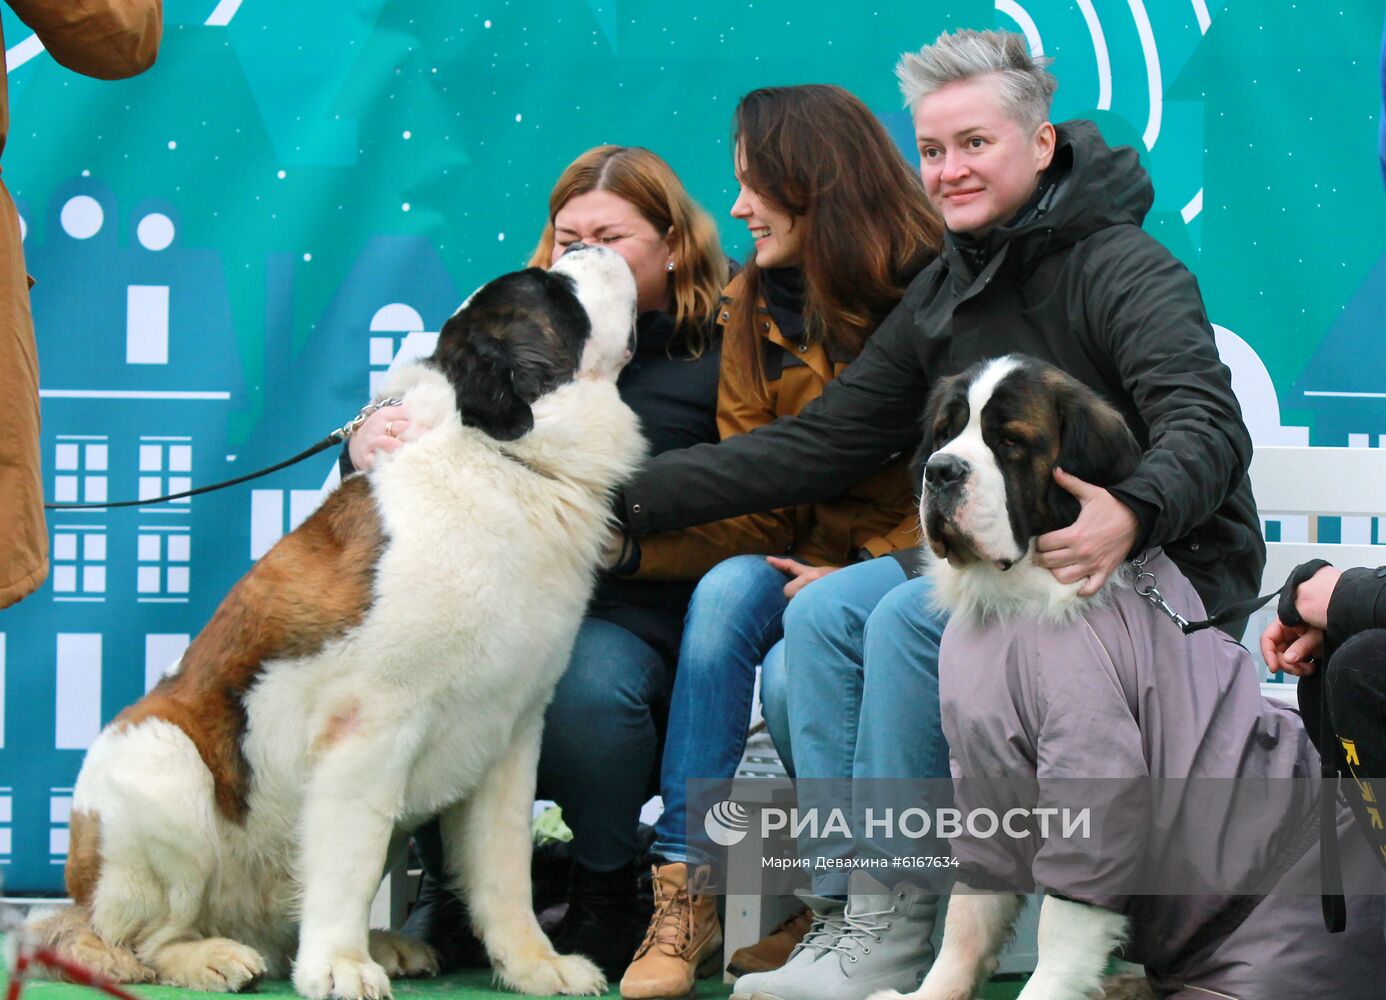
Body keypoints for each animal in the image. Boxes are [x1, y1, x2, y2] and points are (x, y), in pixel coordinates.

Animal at [31, 243, 648, 997]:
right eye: (558, 290)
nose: (591, 245)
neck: (500, 457)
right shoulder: (372, 725)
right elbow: (350, 853)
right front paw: (340, 966)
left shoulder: (512, 733)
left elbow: (505, 868)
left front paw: (534, 964)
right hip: (160, 761)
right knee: (146, 937)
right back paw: (210, 956)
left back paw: (381, 944)